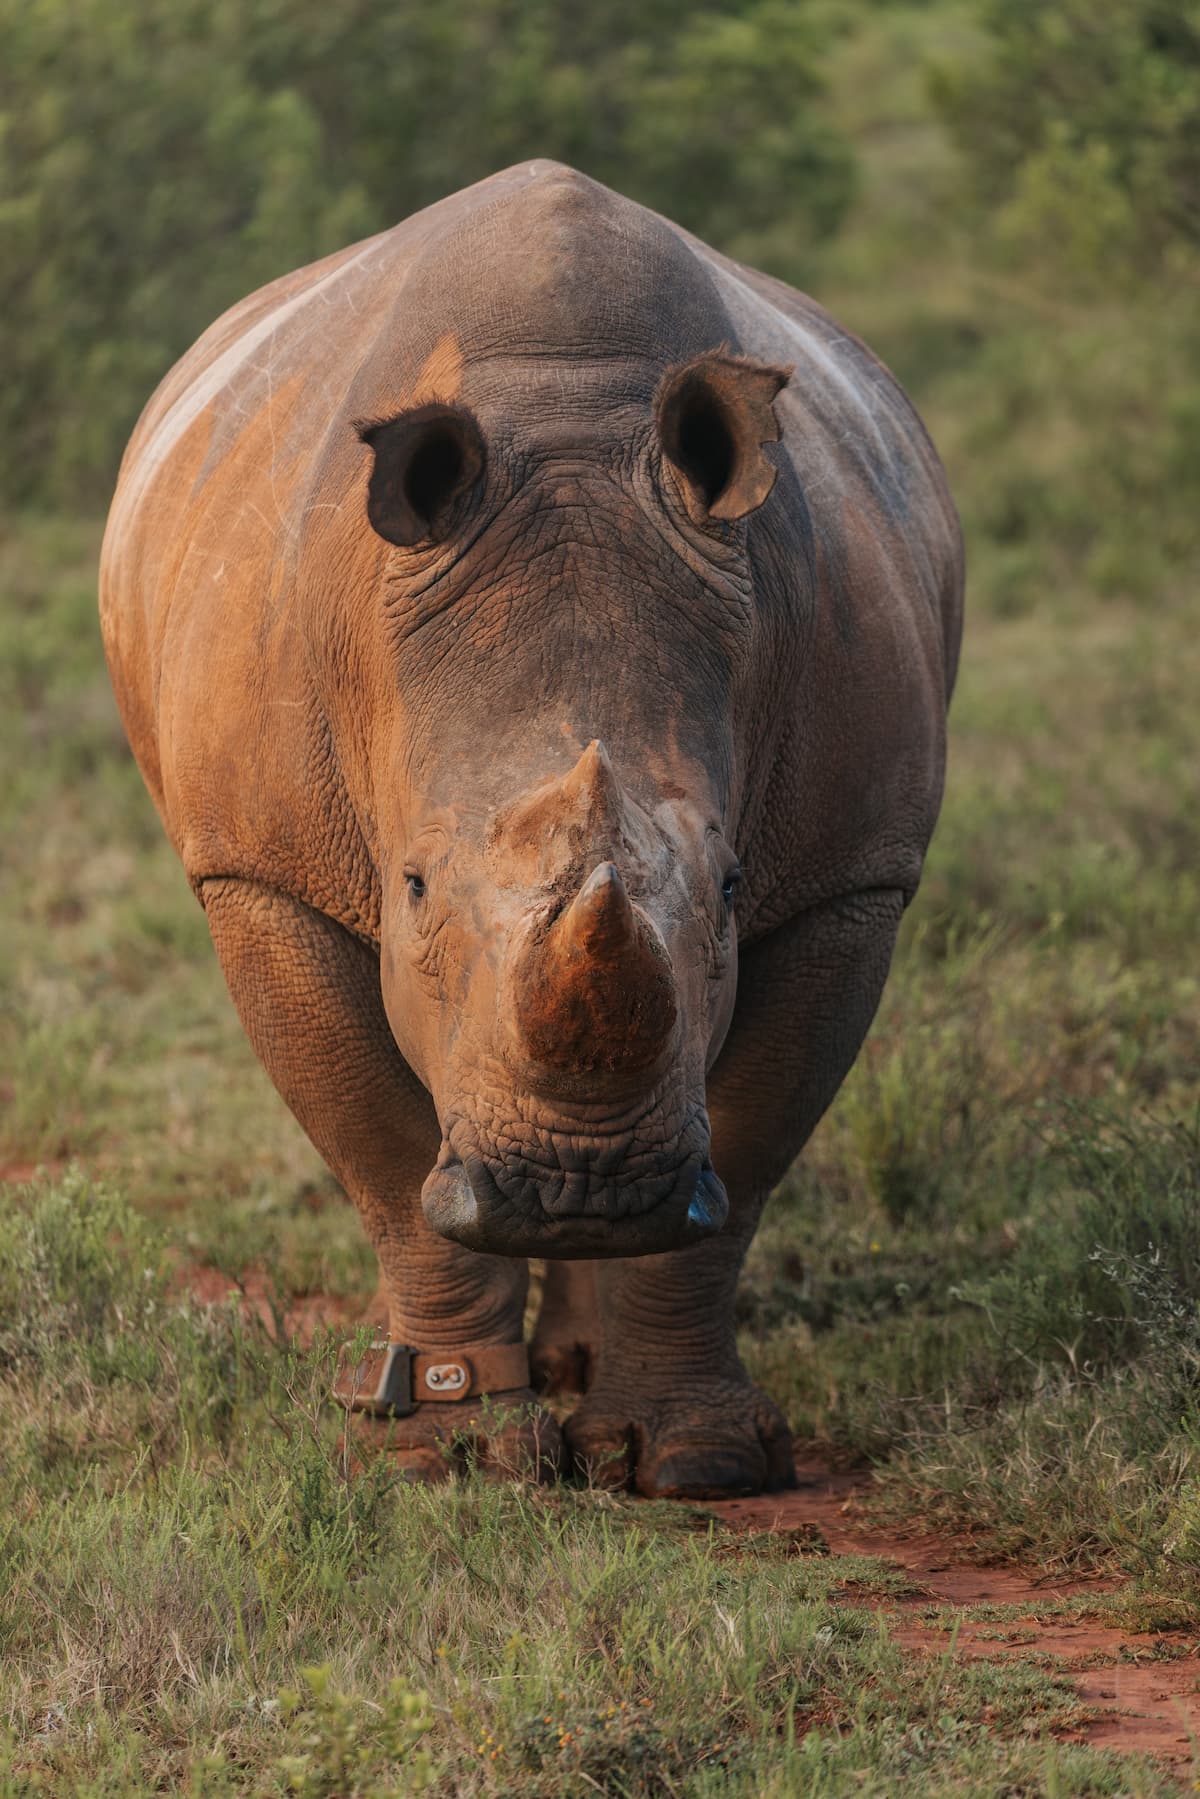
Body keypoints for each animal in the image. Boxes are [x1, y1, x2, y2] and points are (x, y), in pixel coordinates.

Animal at [100, 162, 963, 1497]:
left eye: (731, 886)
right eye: (407, 886)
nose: (580, 1186)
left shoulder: (851, 874)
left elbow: (746, 1155)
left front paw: (699, 1460)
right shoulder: (259, 867)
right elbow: (384, 1152)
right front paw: (452, 1449)